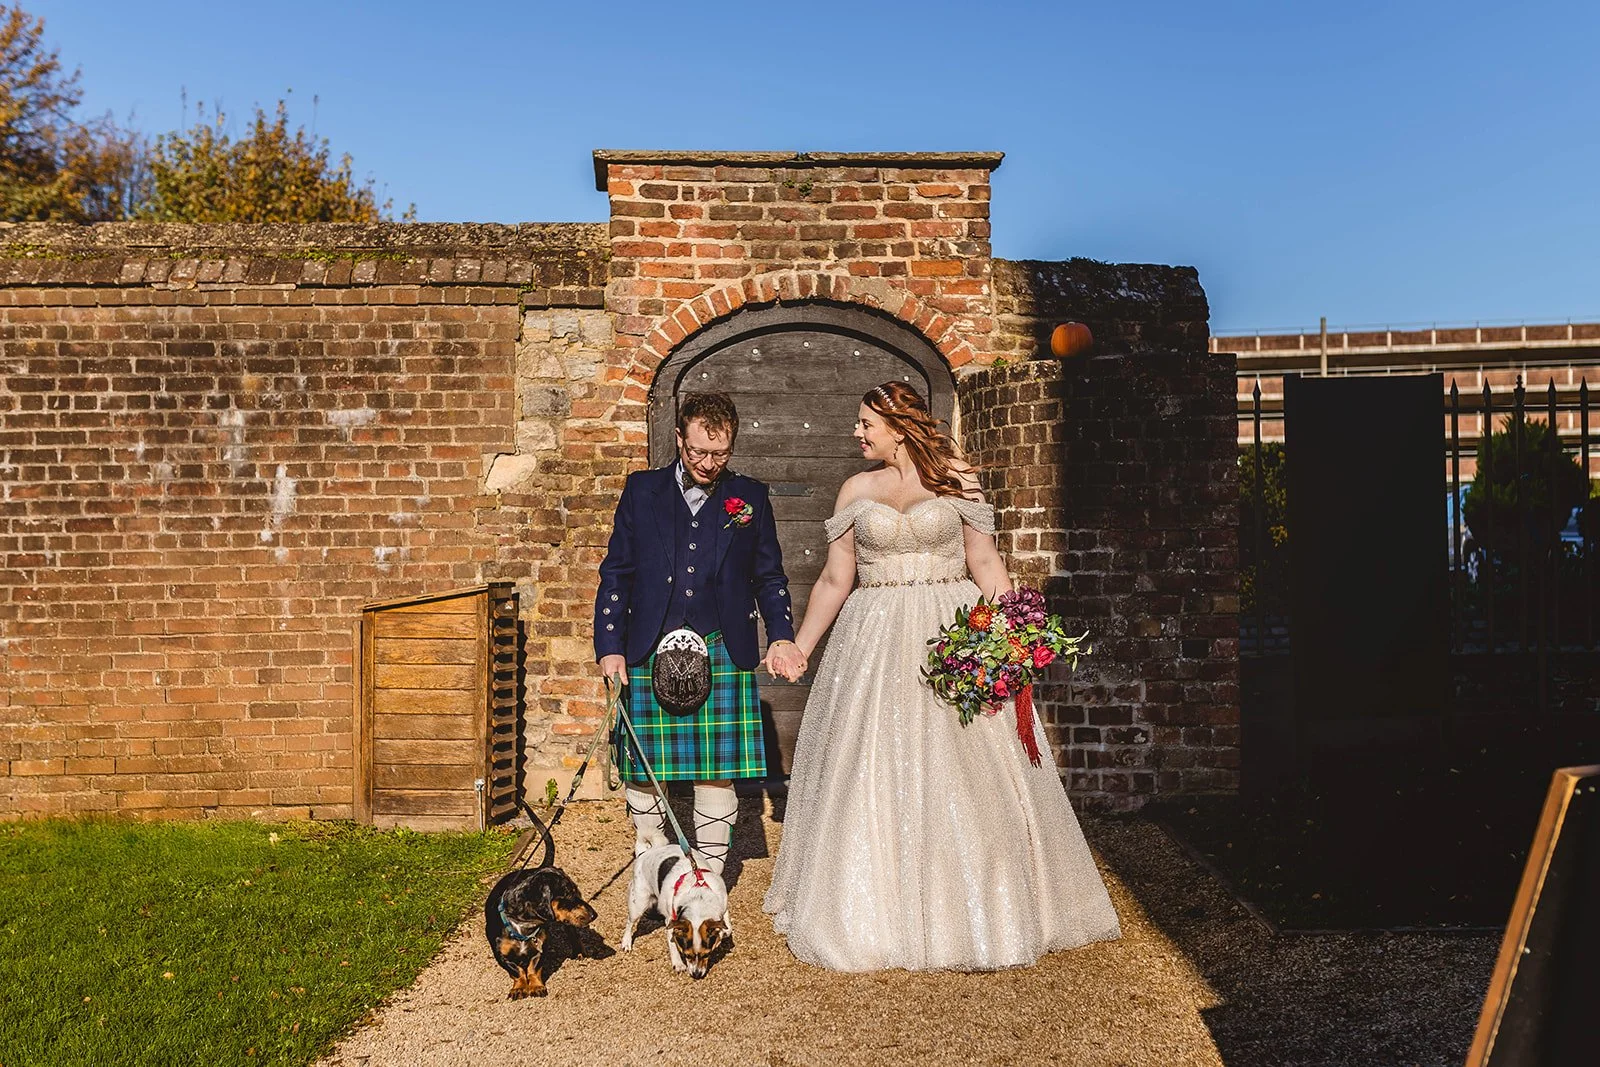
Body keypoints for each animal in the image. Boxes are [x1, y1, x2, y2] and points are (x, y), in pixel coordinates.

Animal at [484, 866, 597, 999]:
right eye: (567, 894)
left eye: (577, 892)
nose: (594, 915)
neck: (522, 925)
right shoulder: (501, 955)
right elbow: (516, 971)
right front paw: (519, 988)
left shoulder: (541, 949)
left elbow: (533, 969)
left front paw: (536, 986)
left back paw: (578, 951)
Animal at [620, 844, 732, 979]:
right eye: (686, 955)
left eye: (706, 955)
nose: (696, 975)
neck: (698, 898)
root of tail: (644, 852)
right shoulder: (671, 922)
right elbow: (673, 944)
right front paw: (678, 964)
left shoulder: (723, 906)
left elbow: (727, 927)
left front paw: (721, 934)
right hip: (638, 903)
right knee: (629, 922)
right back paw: (626, 943)